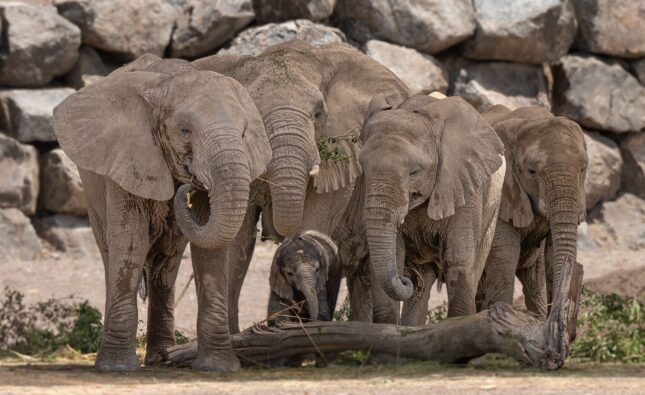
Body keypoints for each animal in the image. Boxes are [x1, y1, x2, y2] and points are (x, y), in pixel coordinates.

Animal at [52, 57, 270, 372]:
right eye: (185, 130)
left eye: (243, 133)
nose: (189, 187)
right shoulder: (127, 159)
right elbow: (130, 243)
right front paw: (117, 368)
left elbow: (210, 253)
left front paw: (218, 367)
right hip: (93, 196)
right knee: (111, 255)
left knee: (166, 266)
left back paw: (162, 358)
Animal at [334, 95, 506, 324]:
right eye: (363, 168)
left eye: (414, 172)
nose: (405, 280)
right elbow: (393, 257)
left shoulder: (466, 188)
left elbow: (459, 264)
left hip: (492, 213)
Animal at [476, 103, 588, 320]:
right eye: (531, 171)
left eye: (583, 168)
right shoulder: (500, 191)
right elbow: (505, 256)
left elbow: (552, 255)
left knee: (534, 278)